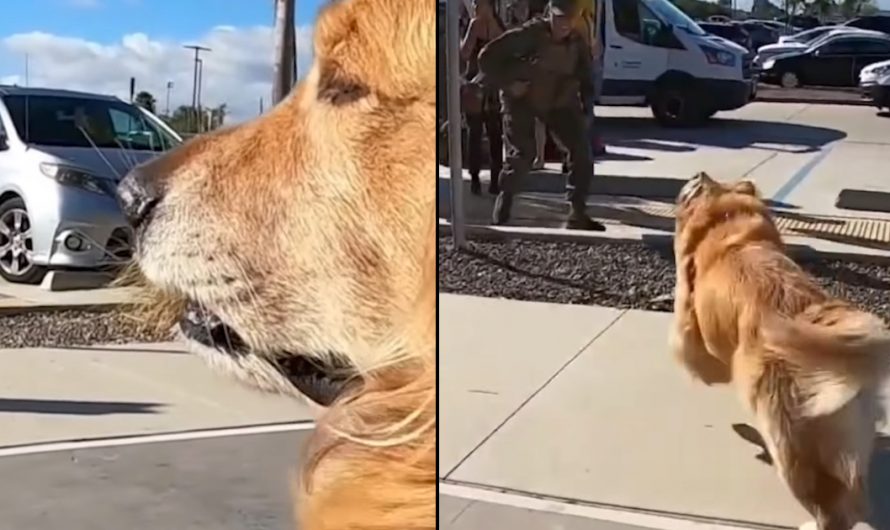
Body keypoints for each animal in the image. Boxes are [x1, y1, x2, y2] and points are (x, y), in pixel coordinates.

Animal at [668, 172, 884, 528]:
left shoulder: (695, 334)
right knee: (854, 498)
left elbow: (688, 344)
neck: (727, 219)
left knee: (828, 510)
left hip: (789, 444)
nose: (697, 174)